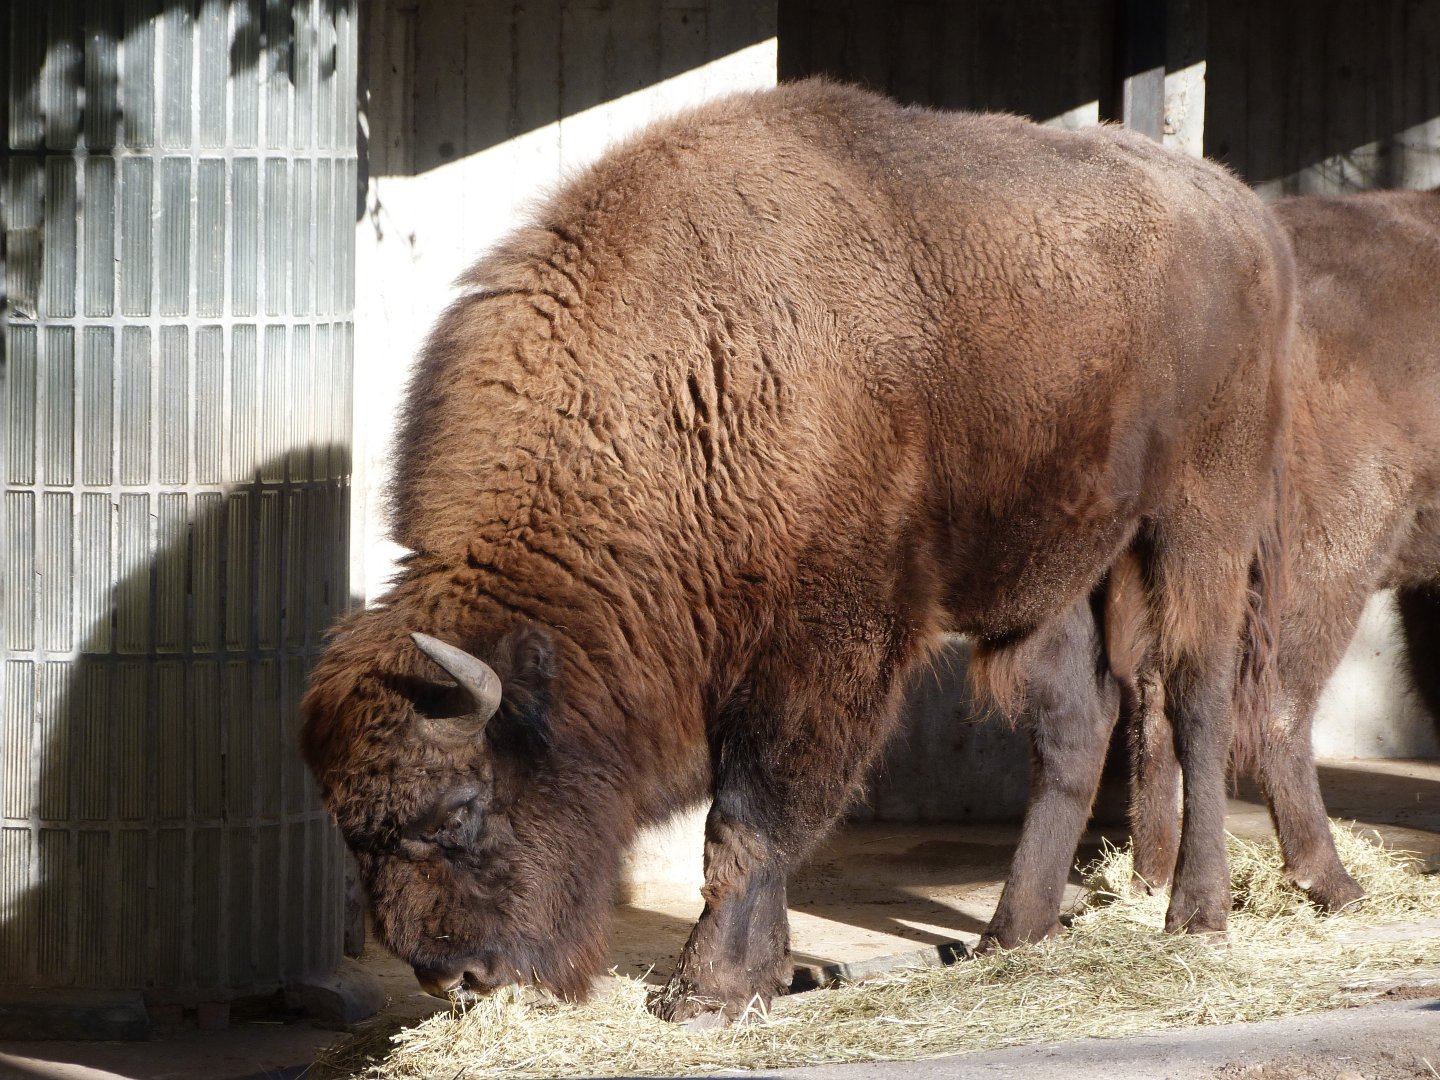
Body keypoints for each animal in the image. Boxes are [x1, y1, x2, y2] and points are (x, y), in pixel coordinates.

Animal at [301, 80, 1294, 1024]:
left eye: (461, 807)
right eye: (351, 832)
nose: (455, 976)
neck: (680, 374)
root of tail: (1246, 214)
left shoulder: (822, 652)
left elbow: (747, 823)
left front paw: (707, 994)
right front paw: (759, 980)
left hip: (1201, 517)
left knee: (1199, 698)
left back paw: (1196, 915)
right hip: (1046, 570)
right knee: (1074, 730)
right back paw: (1011, 937)